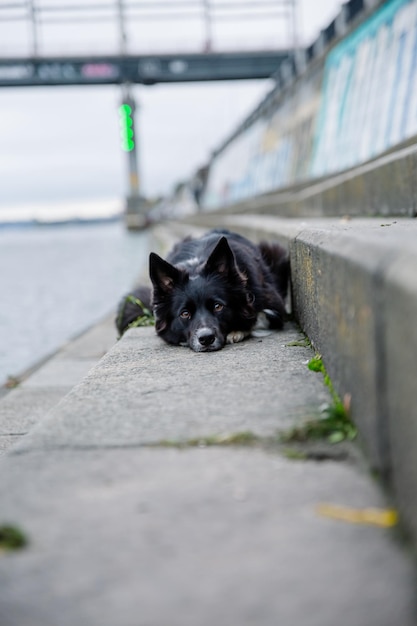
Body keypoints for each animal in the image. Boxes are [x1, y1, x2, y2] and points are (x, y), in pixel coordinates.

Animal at [115, 230, 288, 352]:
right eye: (185, 313)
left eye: (218, 306)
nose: (206, 339)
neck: (196, 264)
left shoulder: (274, 306)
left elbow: (257, 317)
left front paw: (237, 331)